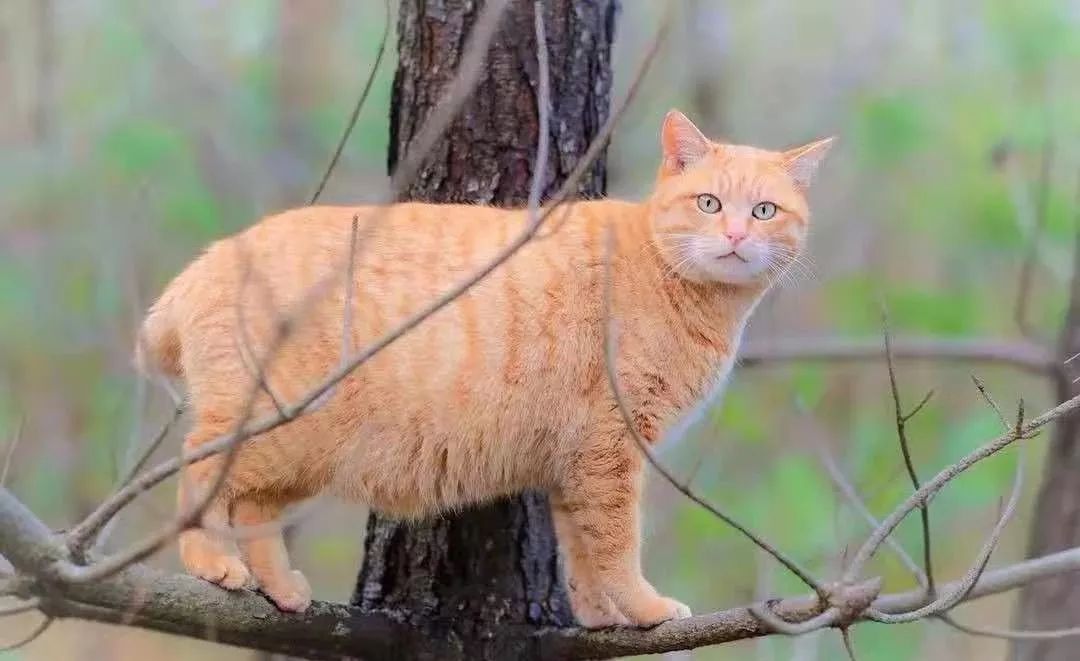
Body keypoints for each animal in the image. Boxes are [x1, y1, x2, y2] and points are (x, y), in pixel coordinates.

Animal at [137, 111, 833, 626]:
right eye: (709, 203)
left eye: (764, 211)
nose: (737, 237)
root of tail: (204, 264)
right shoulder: (612, 452)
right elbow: (616, 544)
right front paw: (643, 609)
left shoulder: (578, 464)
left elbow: (582, 553)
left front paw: (600, 619)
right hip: (272, 429)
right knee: (197, 471)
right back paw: (208, 561)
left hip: (299, 458)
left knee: (252, 509)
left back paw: (281, 589)